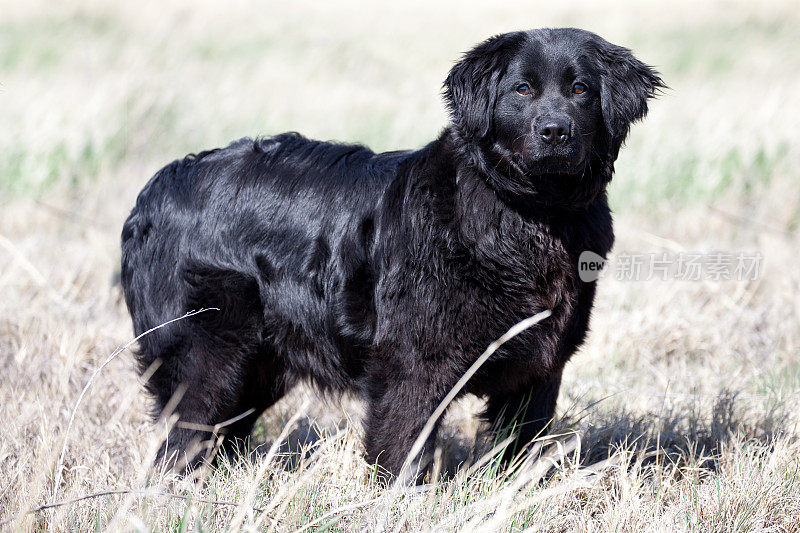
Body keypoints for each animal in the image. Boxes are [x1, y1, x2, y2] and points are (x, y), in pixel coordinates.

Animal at [120, 27, 664, 476]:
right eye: (523, 90)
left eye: (581, 91)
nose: (554, 132)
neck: (526, 215)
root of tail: (157, 185)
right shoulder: (414, 361)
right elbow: (404, 445)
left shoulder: (540, 366)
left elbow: (520, 445)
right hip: (210, 354)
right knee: (182, 437)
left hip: (258, 366)